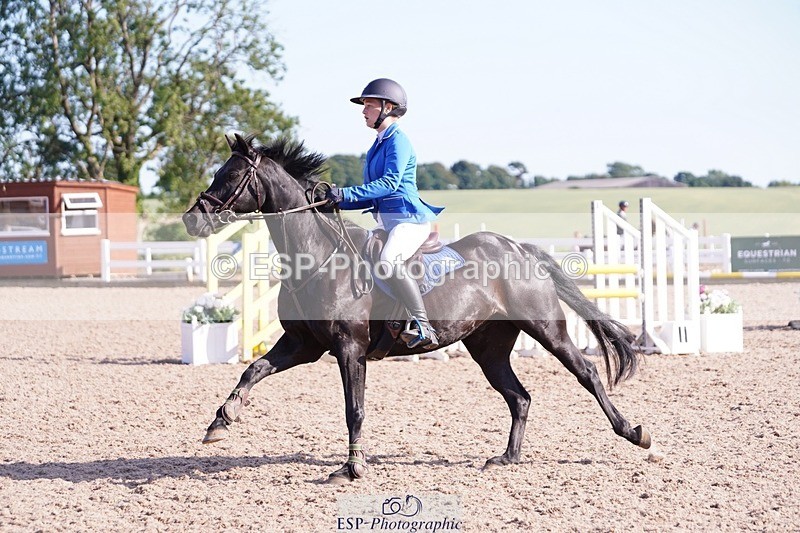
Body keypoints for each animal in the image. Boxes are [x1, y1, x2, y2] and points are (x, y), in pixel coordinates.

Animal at [182, 133, 652, 484]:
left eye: (231, 174)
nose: (192, 218)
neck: (317, 257)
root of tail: (519, 248)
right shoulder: (303, 344)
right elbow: (253, 370)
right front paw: (221, 421)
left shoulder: (349, 349)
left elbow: (354, 408)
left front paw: (351, 468)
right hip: (489, 346)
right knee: (518, 396)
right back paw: (506, 457)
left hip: (545, 328)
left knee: (587, 373)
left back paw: (635, 433)